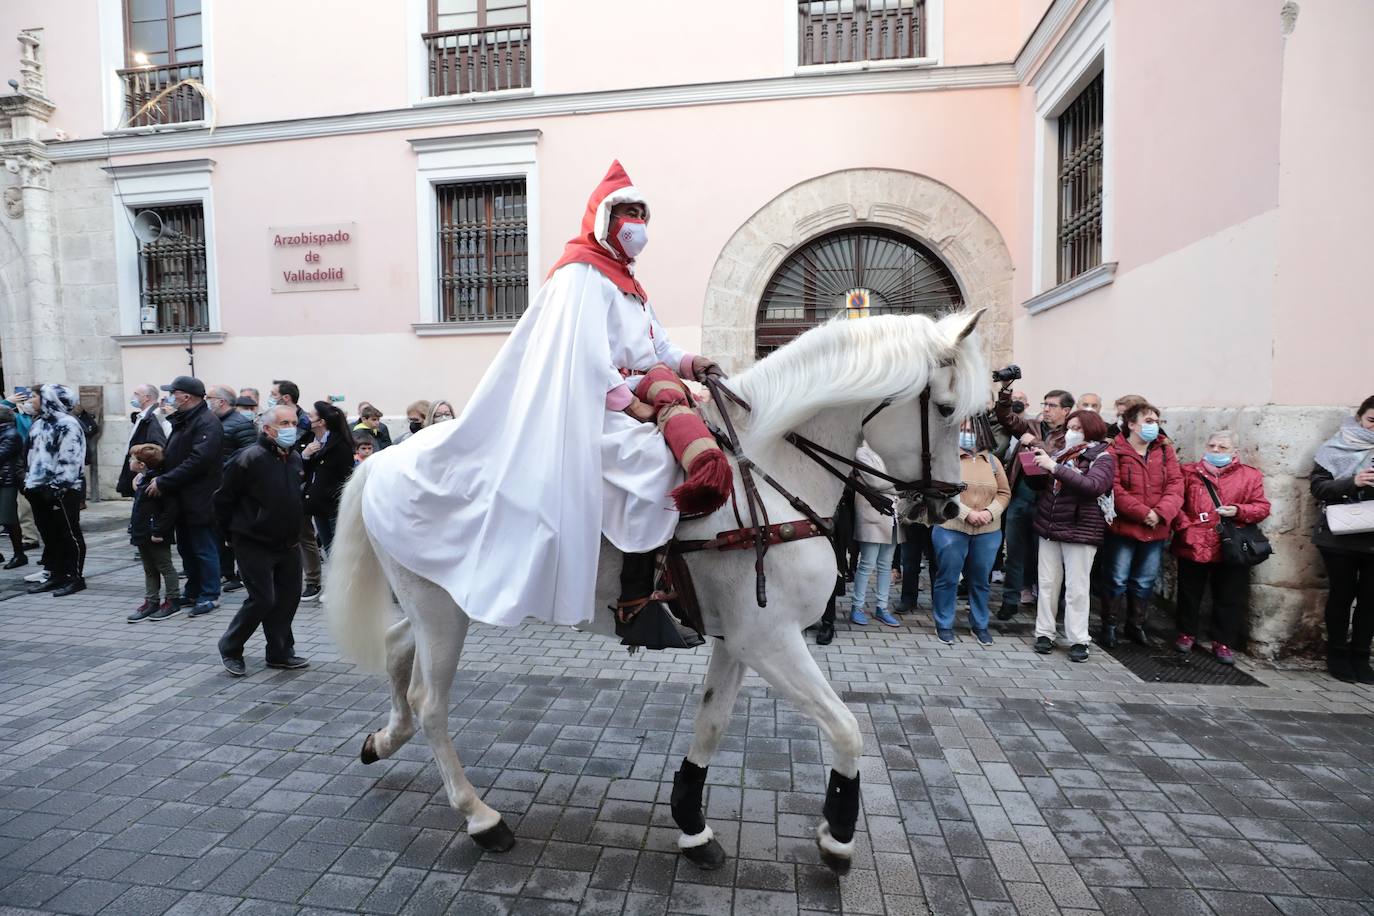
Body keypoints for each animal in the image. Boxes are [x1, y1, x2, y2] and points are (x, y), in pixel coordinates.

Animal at [321, 311, 989, 878]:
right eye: (946, 408)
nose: (946, 507)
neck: (767, 474)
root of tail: (382, 460)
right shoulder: (769, 639)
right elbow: (847, 728)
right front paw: (838, 838)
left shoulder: (740, 639)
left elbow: (711, 725)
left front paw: (692, 823)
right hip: (440, 609)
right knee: (431, 703)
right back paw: (481, 817)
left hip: (443, 602)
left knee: (396, 648)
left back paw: (384, 739)